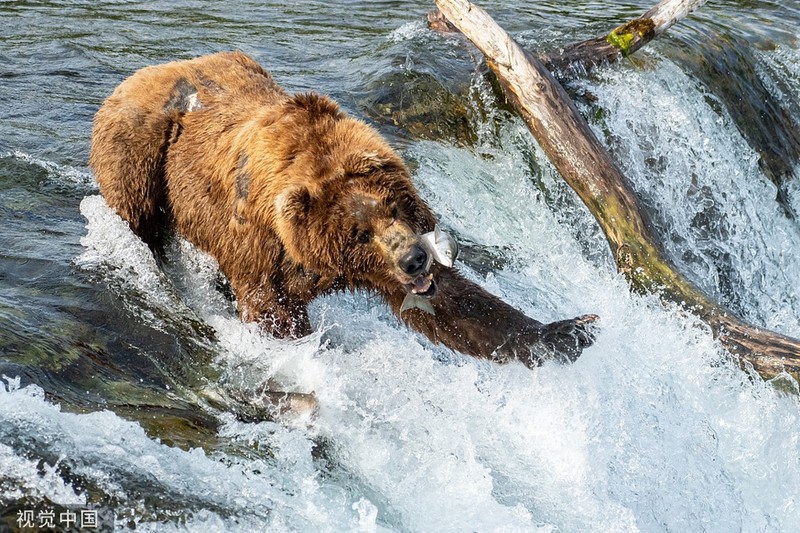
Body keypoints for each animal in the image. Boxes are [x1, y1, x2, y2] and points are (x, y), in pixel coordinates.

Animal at [90, 51, 596, 366]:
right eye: (359, 231)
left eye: (394, 207)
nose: (415, 258)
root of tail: (142, 72)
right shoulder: (261, 248)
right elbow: (271, 311)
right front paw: (304, 352)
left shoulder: (380, 267)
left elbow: (455, 308)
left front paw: (566, 332)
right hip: (140, 153)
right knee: (139, 219)